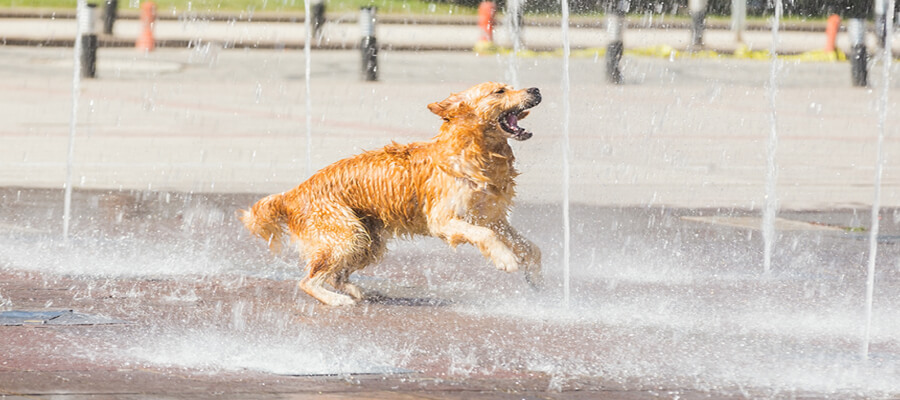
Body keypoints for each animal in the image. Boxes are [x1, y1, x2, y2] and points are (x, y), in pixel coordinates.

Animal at [239, 82, 540, 306]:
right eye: (499, 91)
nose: (536, 89)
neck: (475, 153)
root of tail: (292, 193)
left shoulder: (492, 217)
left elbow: (528, 246)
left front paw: (535, 274)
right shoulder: (443, 220)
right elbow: (486, 236)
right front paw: (506, 260)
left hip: (367, 241)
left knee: (335, 276)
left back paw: (355, 291)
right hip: (346, 235)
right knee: (308, 280)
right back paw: (337, 300)